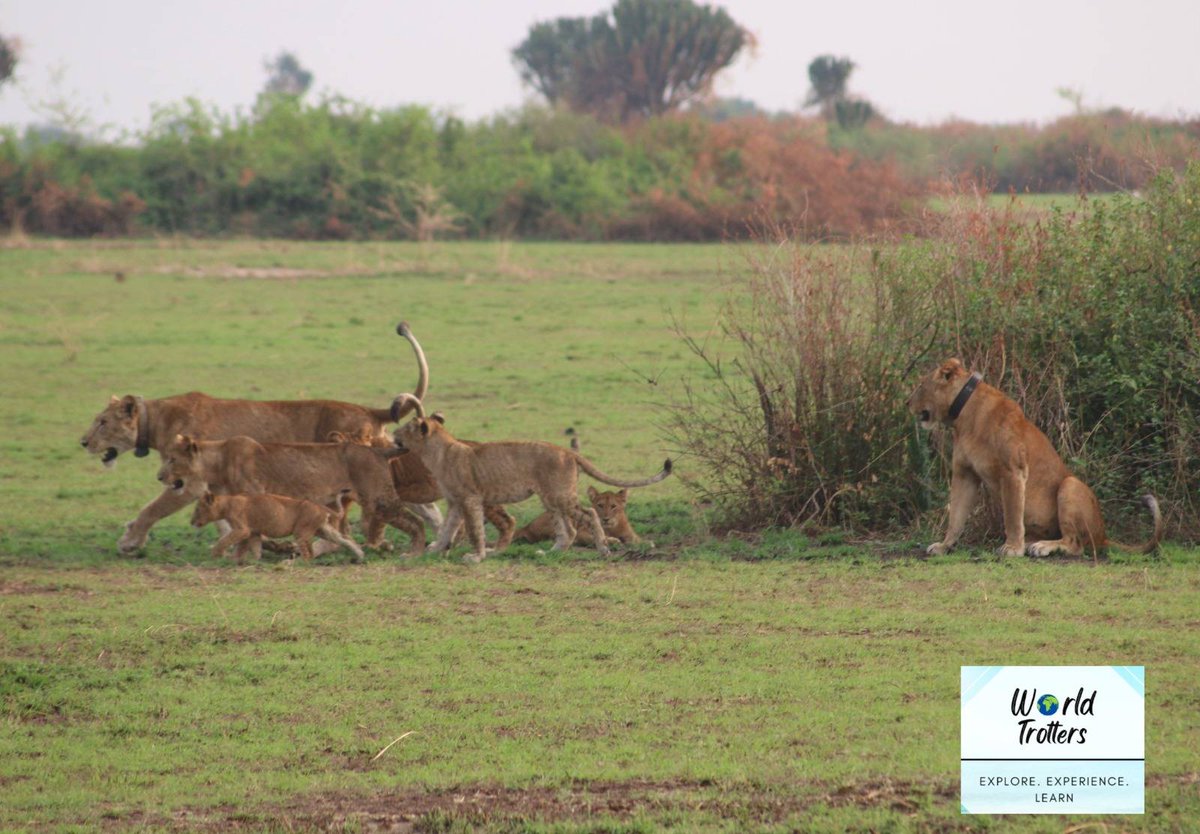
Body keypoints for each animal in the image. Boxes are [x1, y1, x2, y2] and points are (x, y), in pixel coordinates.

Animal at [79, 322, 434, 553]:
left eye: (102, 422)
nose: (83, 442)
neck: (154, 419)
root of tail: (369, 410)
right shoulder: (210, 481)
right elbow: (222, 517)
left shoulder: (188, 480)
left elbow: (153, 508)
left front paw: (129, 541)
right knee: (420, 503)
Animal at [189, 491, 364, 563]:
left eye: (197, 509)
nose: (191, 522)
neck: (226, 503)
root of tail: (320, 506)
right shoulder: (253, 532)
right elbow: (252, 548)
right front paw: (246, 560)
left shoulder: (242, 529)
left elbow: (225, 541)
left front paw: (217, 554)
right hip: (323, 530)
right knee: (344, 540)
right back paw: (360, 555)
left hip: (301, 532)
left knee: (308, 554)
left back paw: (293, 562)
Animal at [513, 487, 644, 547]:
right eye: (600, 506)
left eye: (613, 506)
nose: (606, 519)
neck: (612, 528)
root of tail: (527, 526)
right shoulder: (582, 532)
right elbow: (593, 538)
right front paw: (613, 540)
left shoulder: (631, 535)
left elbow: (638, 540)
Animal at [908, 357, 1162, 557]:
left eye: (920, 385)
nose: (907, 403)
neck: (963, 419)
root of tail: (1104, 535)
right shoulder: (965, 474)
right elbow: (956, 516)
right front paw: (944, 546)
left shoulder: (1013, 471)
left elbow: (1012, 515)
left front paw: (1012, 549)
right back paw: (1033, 543)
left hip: (1070, 485)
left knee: (1075, 544)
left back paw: (1041, 547)